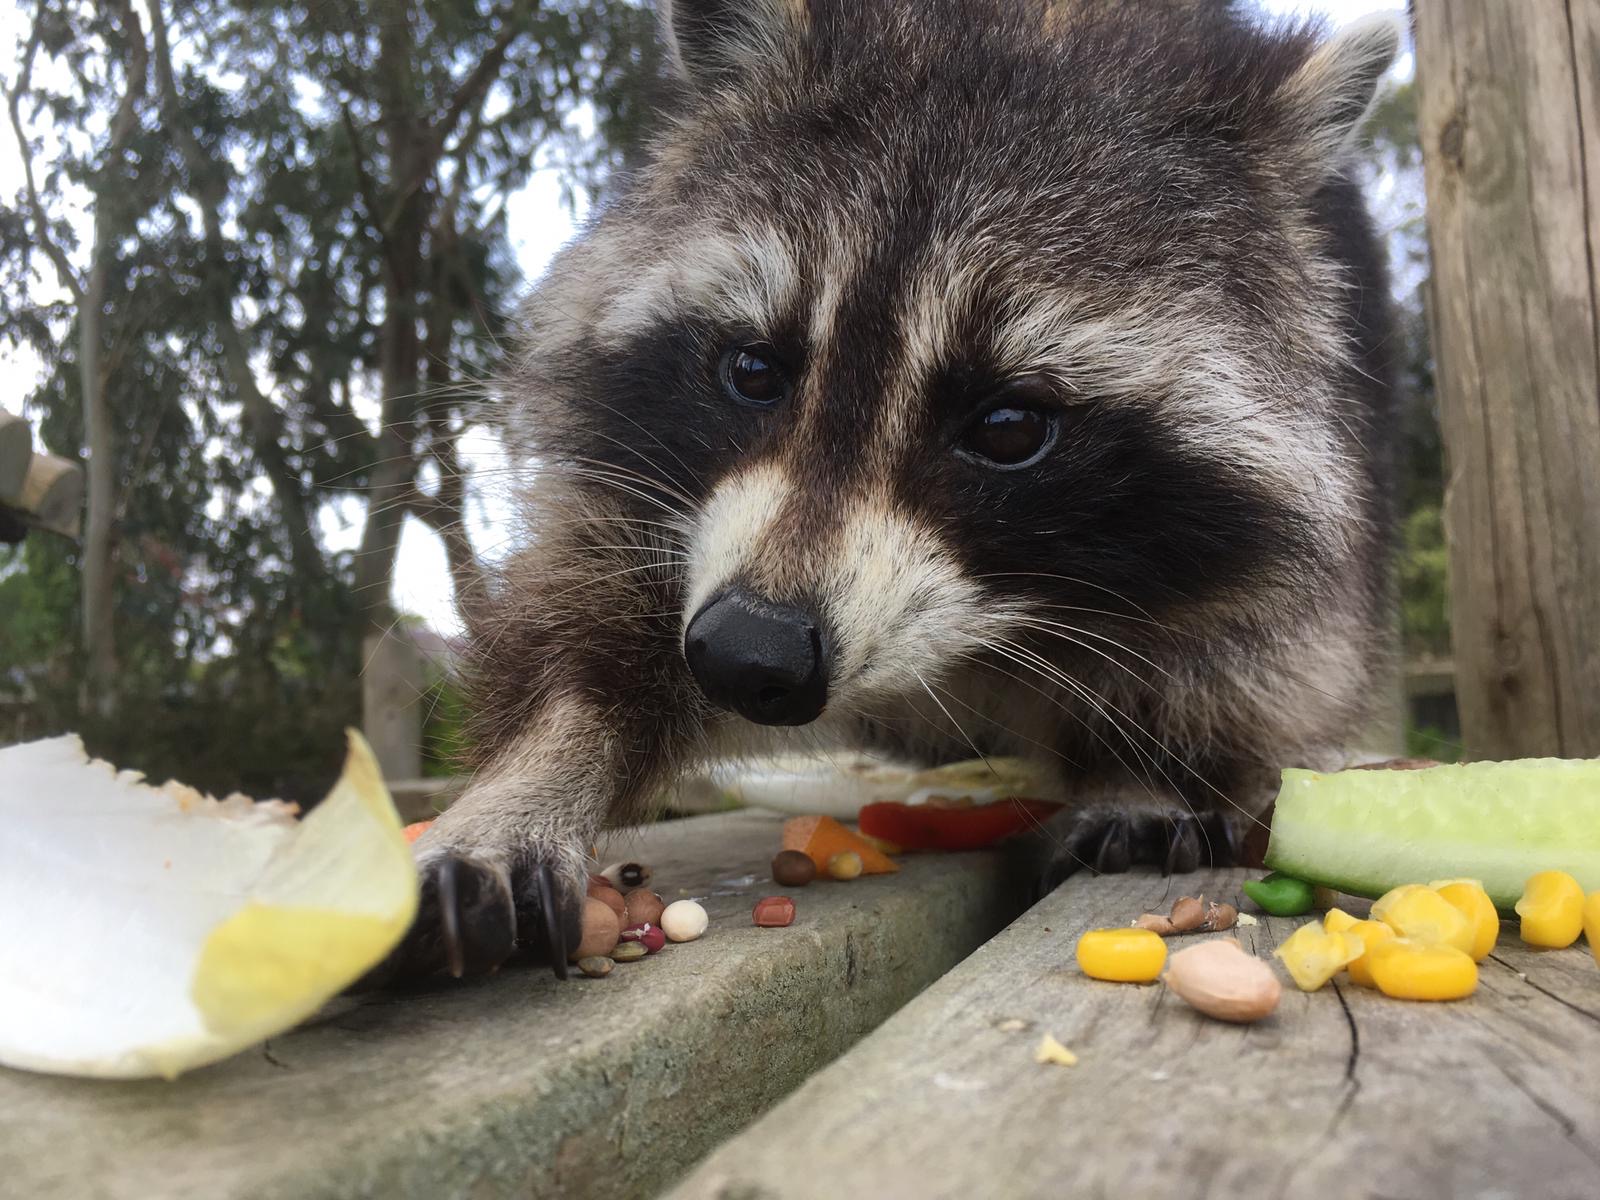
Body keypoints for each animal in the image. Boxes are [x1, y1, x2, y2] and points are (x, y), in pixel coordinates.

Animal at [384, 0, 1401, 979]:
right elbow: (596, 619)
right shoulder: (652, 483)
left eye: (1007, 426)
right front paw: (535, 775)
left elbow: (1233, 647)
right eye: (754, 369)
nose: (749, 653)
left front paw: (1140, 768)